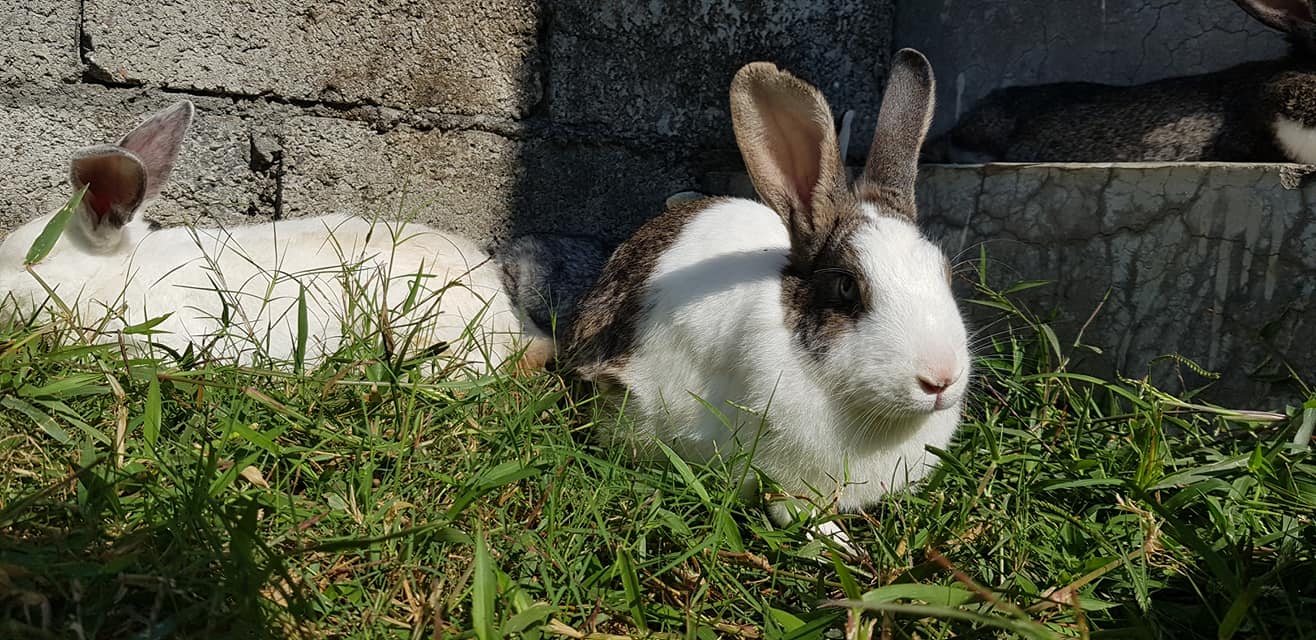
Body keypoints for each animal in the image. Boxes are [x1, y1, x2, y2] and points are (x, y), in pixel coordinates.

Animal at [563, 49, 971, 533]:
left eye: (944, 272)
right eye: (847, 287)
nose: (941, 379)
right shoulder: (785, 480)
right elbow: (798, 514)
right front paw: (840, 542)